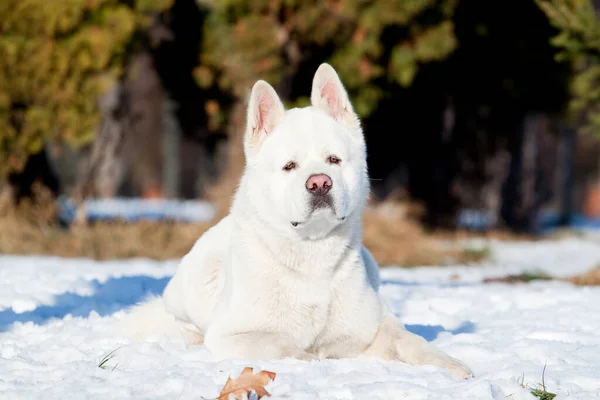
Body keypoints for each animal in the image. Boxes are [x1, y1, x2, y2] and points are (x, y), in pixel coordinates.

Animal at [122, 63, 474, 378]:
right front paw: (311, 360)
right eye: (290, 166)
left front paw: (452, 365)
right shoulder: (233, 335)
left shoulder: (374, 327)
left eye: (333, 160)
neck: (312, 255)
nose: (319, 183)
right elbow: (285, 347)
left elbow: (411, 340)